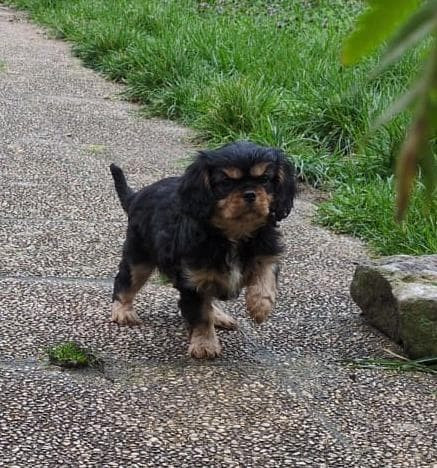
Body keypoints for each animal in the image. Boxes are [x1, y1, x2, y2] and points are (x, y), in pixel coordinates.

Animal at [109, 141, 296, 358]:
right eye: (226, 182)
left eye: (265, 179)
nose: (250, 194)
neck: (235, 234)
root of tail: (136, 196)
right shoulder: (194, 281)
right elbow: (201, 315)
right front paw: (205, 345)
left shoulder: (266, 254)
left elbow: (265, 278)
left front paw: (260, 307)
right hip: (139, 258)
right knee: (125, 282)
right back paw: (123, 311)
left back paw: (220, 315)